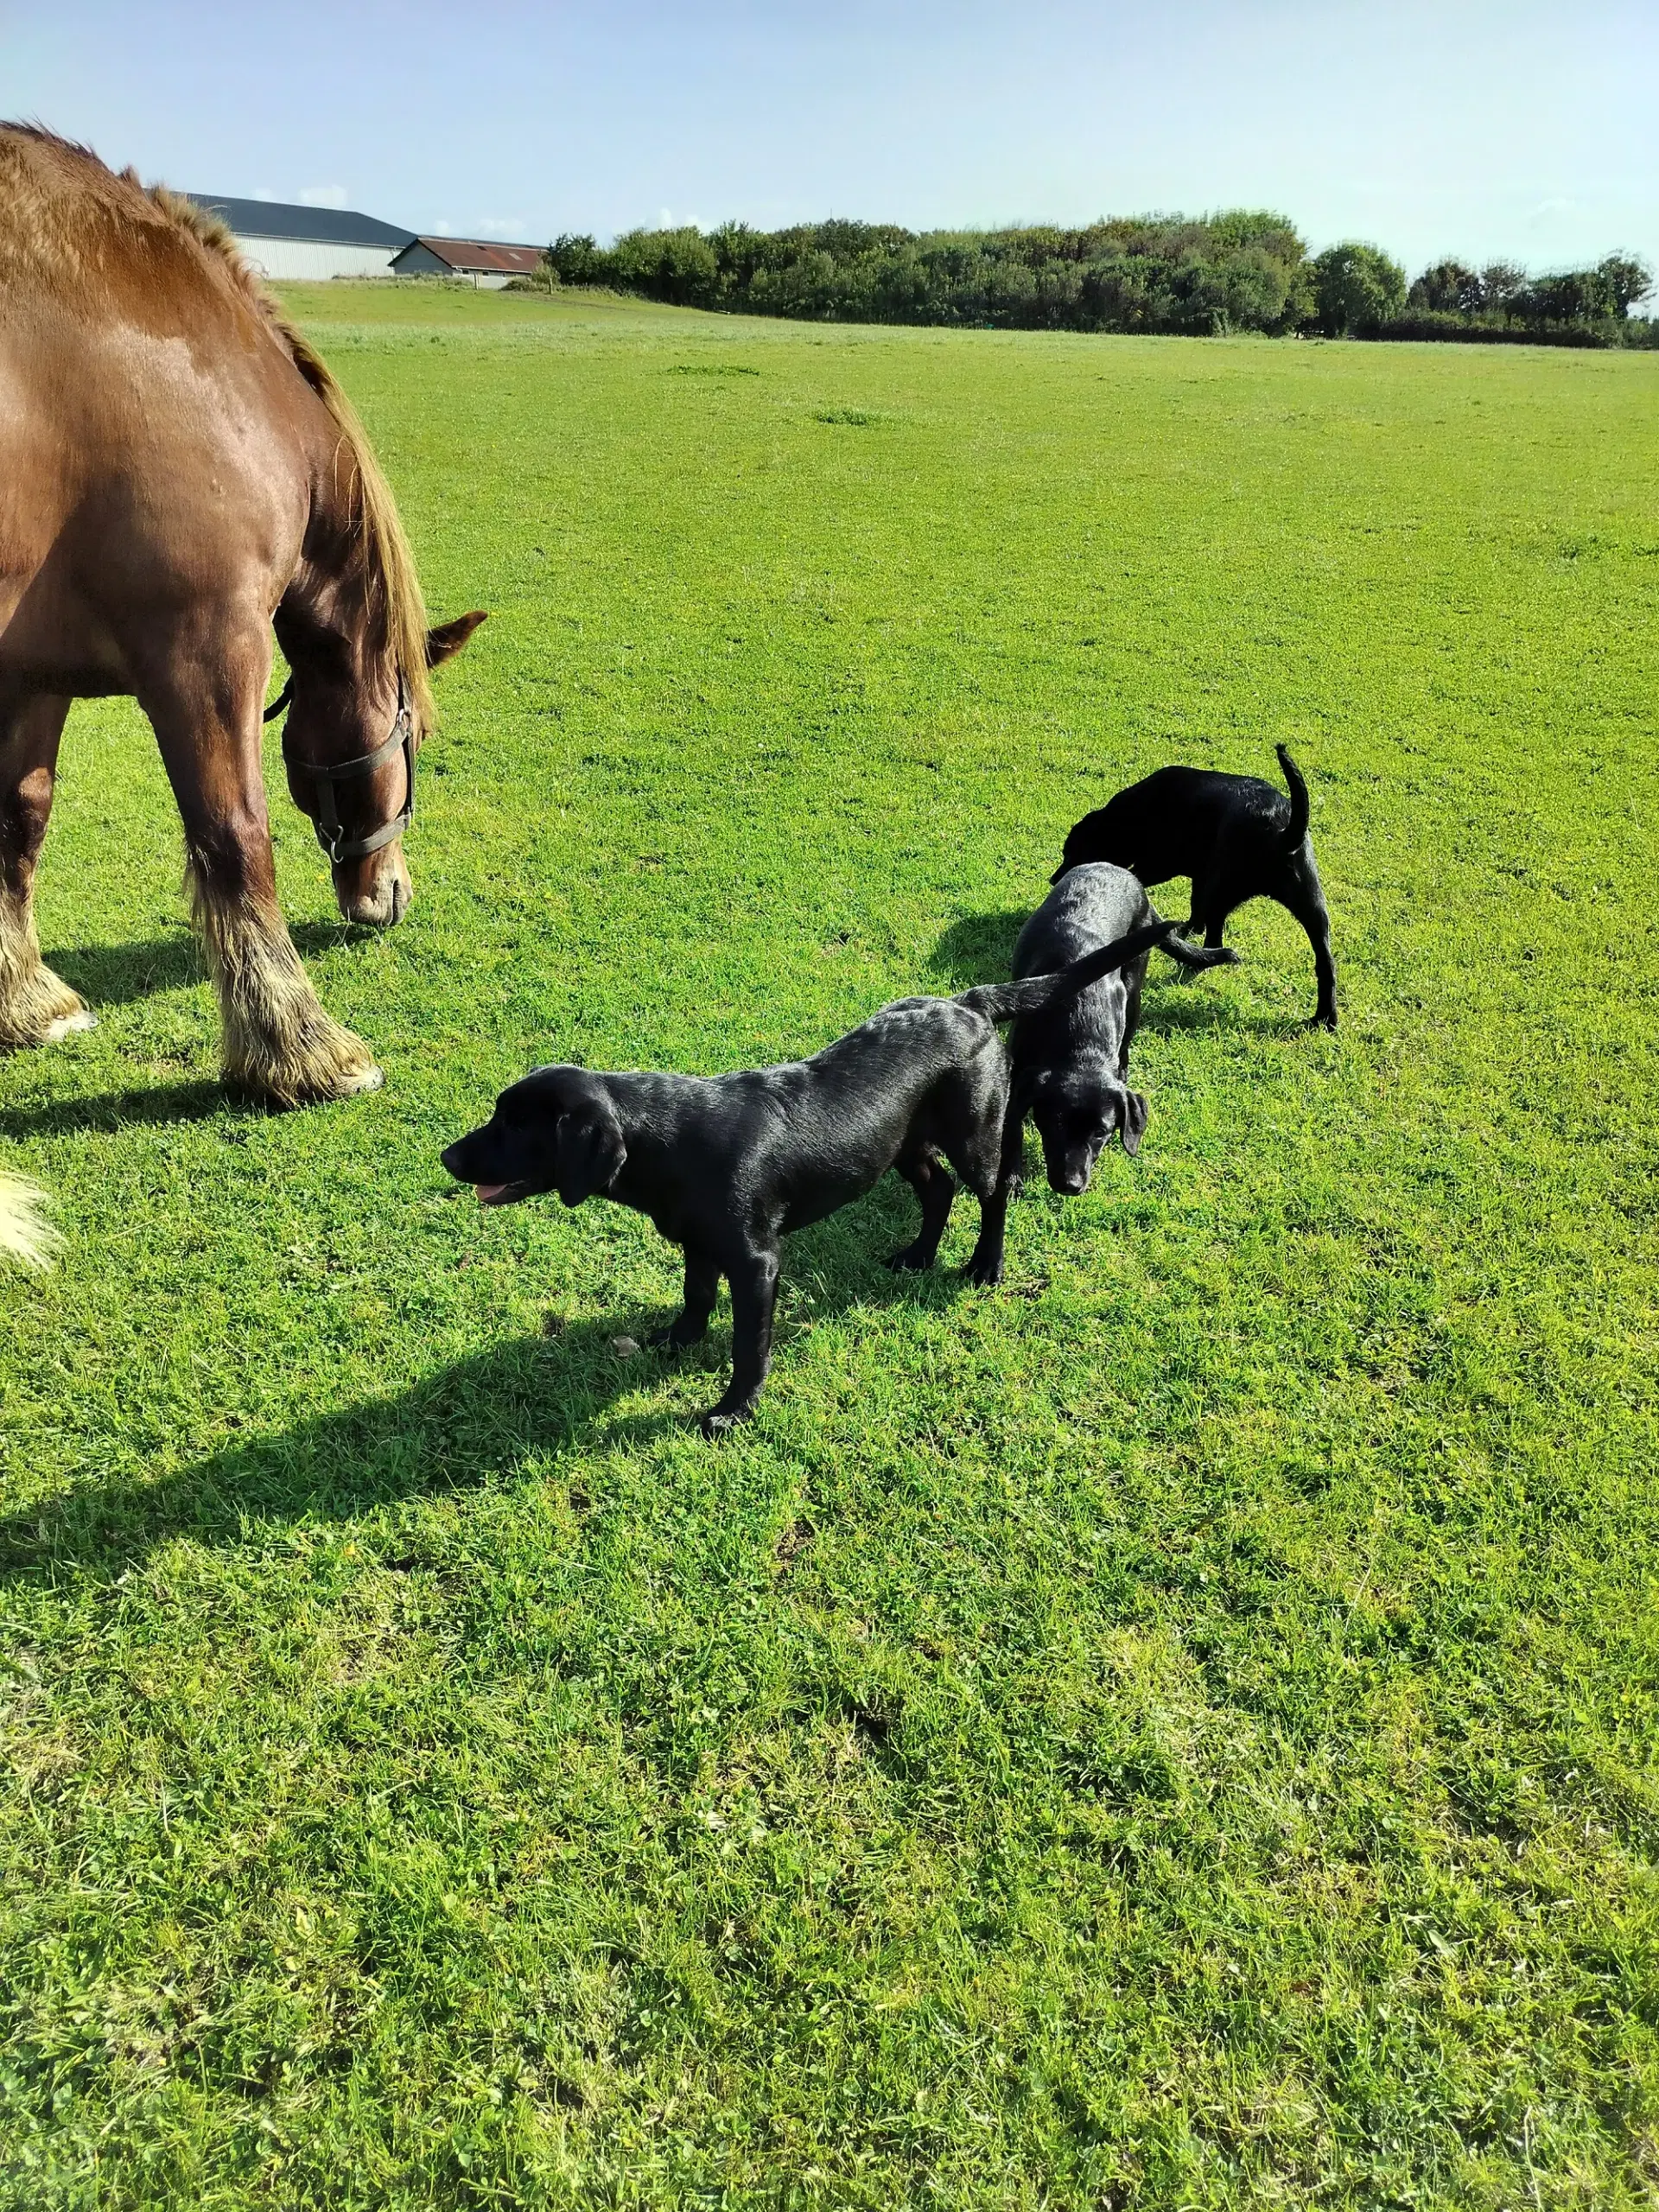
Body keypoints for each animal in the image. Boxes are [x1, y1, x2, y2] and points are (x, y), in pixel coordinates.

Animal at [0, 127, 491, 1096]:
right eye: (416, 740)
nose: (392, 895)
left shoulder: (34, 672)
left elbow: (20, 818)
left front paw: (24, 996)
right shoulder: (207, 647)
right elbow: (235, 837)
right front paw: (298, 1042)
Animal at [442, 915, 1185, 1433]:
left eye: (514, 1126)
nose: (447, 1157)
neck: (668, 1139)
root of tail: (968, 1002)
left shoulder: (757, 1261)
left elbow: (749, 1345)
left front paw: (732, 1411)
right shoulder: (700, 1243)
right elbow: (695, 1298)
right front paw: (675, 1343)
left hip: (975, 1131)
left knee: (994, 1190)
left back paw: (984, 1267)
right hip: (900, 1145)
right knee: (938, 1190)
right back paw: (918, 1256)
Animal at [1013, 858, 1238, 1203]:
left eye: (1101, 1133)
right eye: (1055, 1124)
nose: (1070, 1185)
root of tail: (1121, 871)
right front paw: (1011, 1176)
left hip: (1134, 990)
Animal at [1057, 739, 1344, 1021]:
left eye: (1072, 852)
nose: (1054, 878)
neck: (1133, 815)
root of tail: (1282, 832)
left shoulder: (1160, 866)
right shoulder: (1200, 874)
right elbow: (1195, 904)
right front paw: (1190, 927)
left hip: (1221, 890)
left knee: (1215, 941)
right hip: (1312, 905)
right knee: (1326, 963)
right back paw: (1325, 1017)